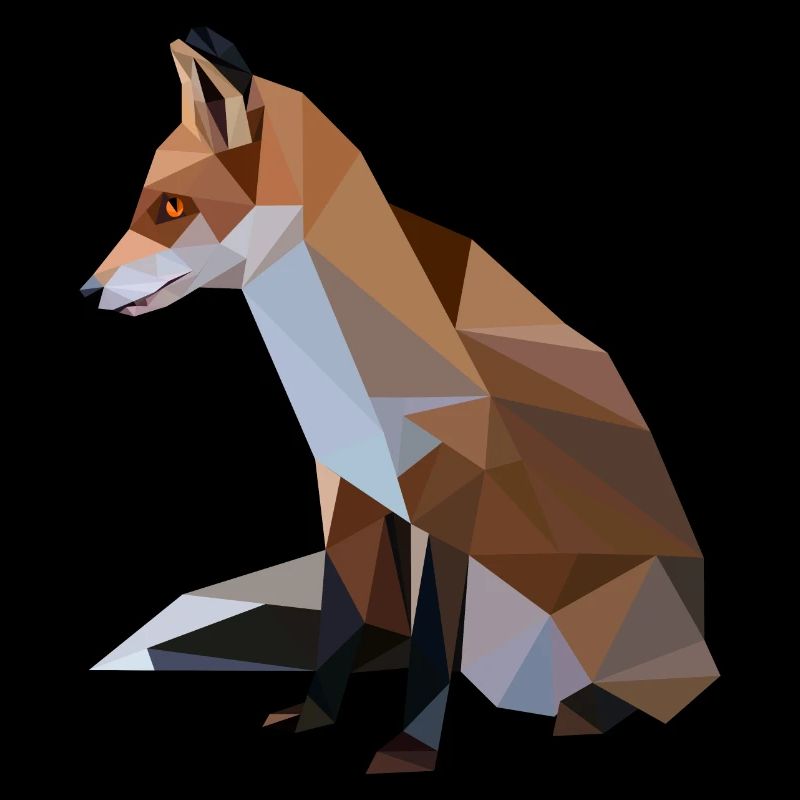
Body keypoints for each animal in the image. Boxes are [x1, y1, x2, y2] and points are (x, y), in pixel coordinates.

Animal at [83, 28, 718, 773]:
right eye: (148, 201)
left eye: (173, 207)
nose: (87, 292)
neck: (348, 373)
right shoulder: (348, 490)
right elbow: (339, 624)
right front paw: (314, 720)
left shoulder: (449, 508)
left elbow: (431, 654)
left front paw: (411, 750)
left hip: (620, 611)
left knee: (662, 694)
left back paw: (585, 715)